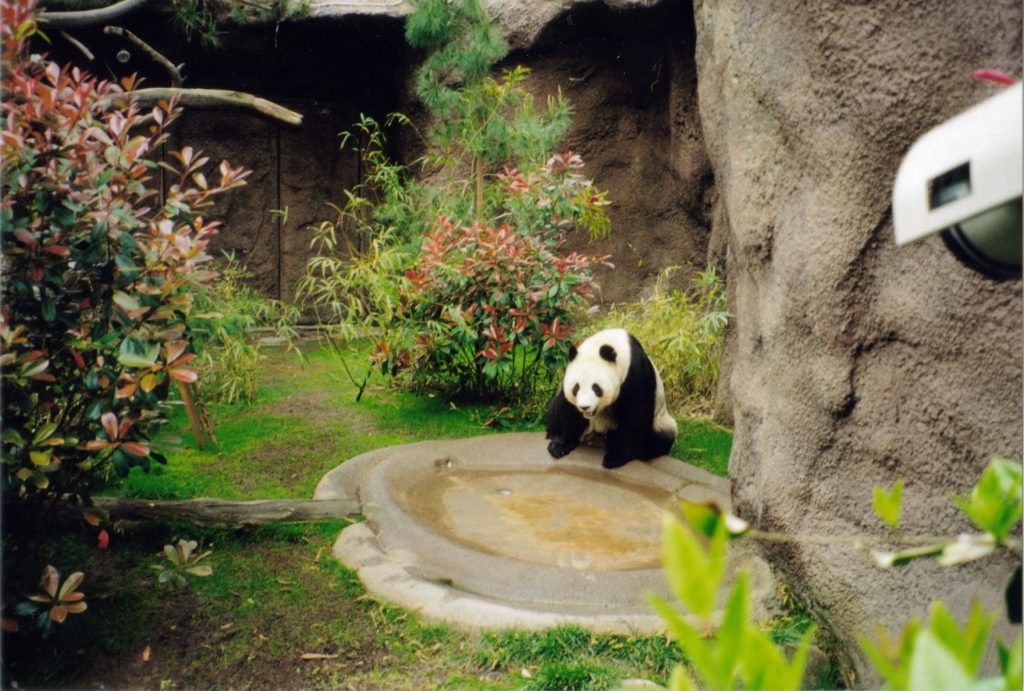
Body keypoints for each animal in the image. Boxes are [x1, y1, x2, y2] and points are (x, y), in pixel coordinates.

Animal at [544, 329, 679, 470]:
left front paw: (615, 458)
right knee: (553, 410)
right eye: (576, 388)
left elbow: (635, 415)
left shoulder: (636, 375)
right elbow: (567, 409)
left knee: (659, 439)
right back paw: (551, 434)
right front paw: (559, 446)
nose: (585, 407)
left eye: (596, 388)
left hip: (661, 422)